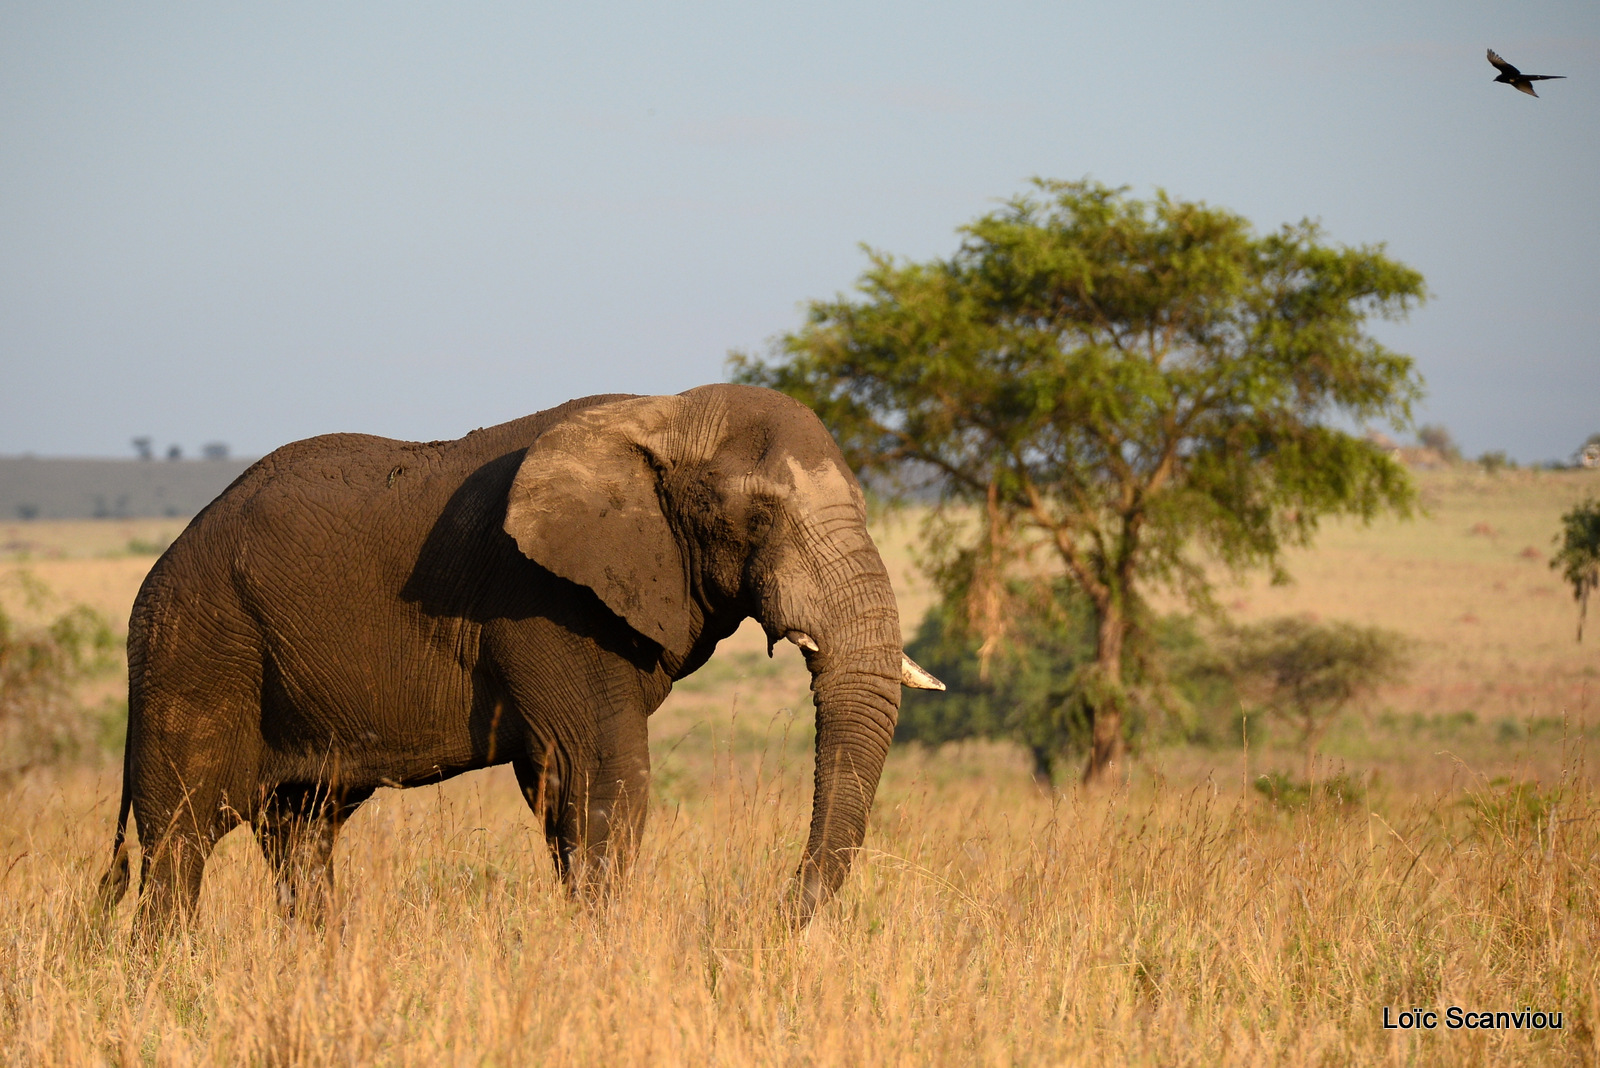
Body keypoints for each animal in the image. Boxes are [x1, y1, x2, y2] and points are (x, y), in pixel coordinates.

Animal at [93, 383, 940, 933]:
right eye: (758, 518)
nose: (775, 912)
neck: (666, 413)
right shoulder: (540, 599)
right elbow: (603, 773)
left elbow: (566, 786)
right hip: (196, 652)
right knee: (178, 845)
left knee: (301, 838)